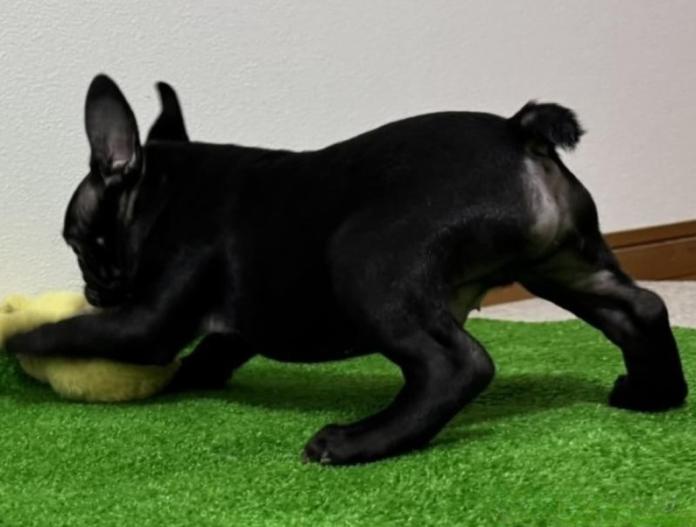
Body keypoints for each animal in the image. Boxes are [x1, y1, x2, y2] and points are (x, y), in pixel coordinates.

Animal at [7, 74, 688, 465]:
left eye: (78, 242)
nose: (92, 287)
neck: (162, 192)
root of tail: (518, 134)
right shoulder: (231, 331)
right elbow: (206, 358)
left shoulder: (146, 322)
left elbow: (71, 332)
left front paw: (17, 341)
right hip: (562, 264)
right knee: (640, 309)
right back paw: (654, 394)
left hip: (364, 260)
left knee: (457, 364)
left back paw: (357, 441)